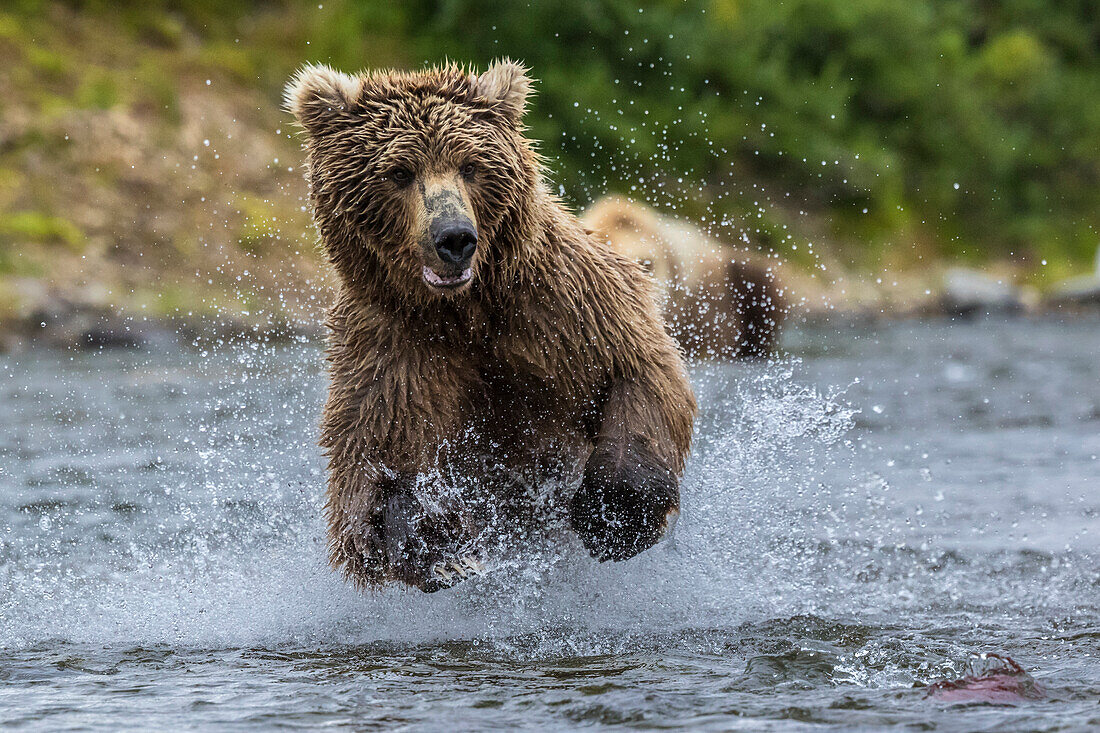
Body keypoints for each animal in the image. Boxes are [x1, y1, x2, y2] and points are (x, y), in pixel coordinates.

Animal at [283, 59, 695, 589]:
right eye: (399, 171)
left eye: (471, 165)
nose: (454, 238)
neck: (464, 313)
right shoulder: (395, 345)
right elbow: (372, 466)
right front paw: (439, 544)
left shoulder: (562, 308)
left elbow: (642, 371)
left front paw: (612, 515)